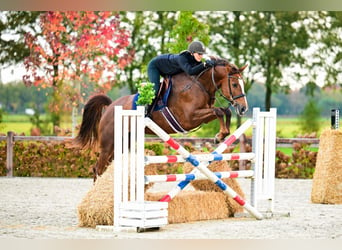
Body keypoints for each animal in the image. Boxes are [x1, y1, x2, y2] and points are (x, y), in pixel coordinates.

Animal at [72, 57, 248, 181]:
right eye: (234, 84)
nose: (243, 108)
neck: (199, 84)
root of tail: (110, 107)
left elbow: (225, 111)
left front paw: (222, 135)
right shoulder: (189, 119)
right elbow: (219, 111)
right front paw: (220, 135)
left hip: (122, 142)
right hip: (108, 144)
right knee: (98, 169)